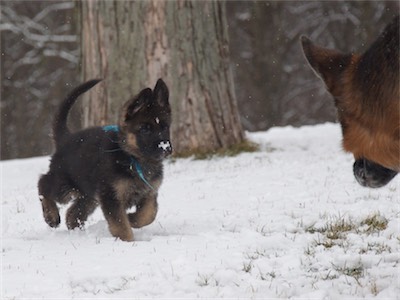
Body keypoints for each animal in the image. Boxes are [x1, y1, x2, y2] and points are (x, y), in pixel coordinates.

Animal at [38, 78, 173, 240]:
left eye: (165, 127)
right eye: (145, 129)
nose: (165, 148)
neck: (132, 158)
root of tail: (66, 138)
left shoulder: (149, 193)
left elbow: (149, 214)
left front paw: (132, 218)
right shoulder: (111, 196)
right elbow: (120, 224)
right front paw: (127, 240)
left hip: (89, 195)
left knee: (73, 213)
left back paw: (76, 230)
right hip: (64, 186)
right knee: (43, 184)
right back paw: (51, 216)